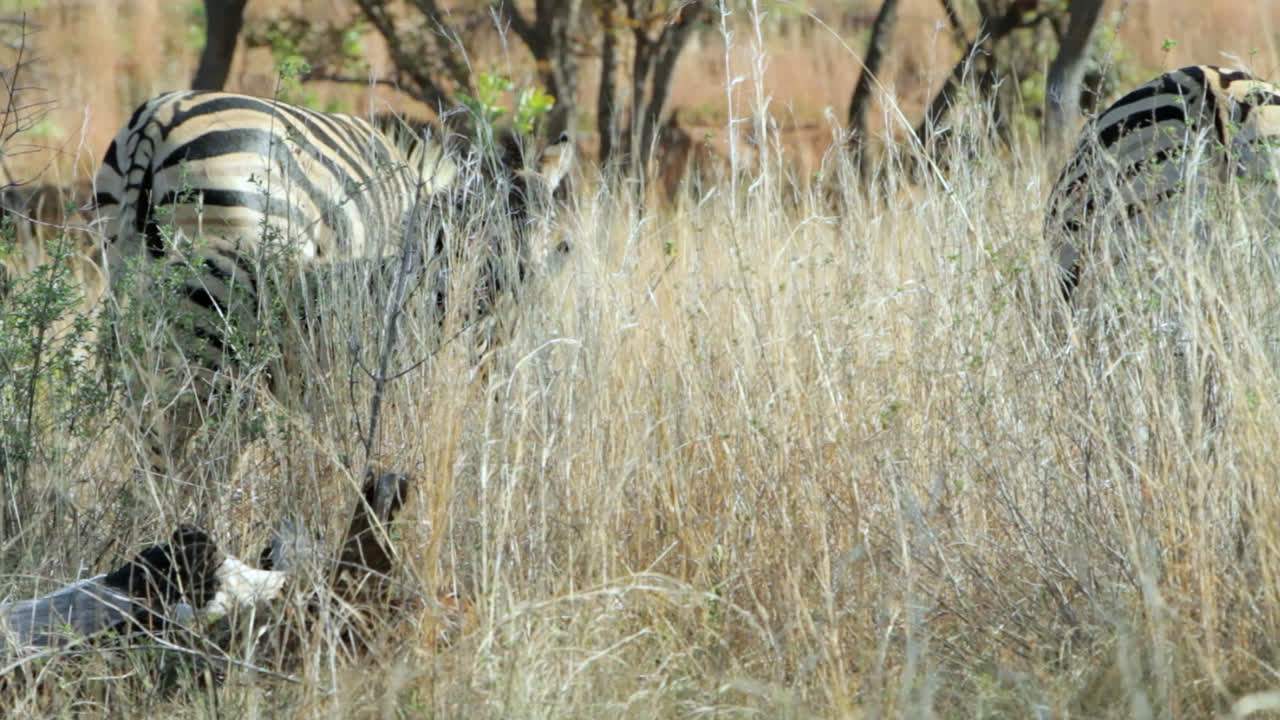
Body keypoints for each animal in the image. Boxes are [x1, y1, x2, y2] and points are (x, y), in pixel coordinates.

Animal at [92, 90, 573, 483]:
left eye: (549, 221)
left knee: (151, 432)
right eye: (492, 225)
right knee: (189, 442)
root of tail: (156, 121)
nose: (524, 279)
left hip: (125, 268)